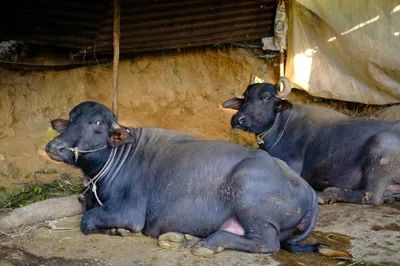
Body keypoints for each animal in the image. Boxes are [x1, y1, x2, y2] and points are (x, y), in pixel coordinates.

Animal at [45, 101, 348, 256]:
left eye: (96, 124)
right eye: (69, 120)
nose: (54, 147)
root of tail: (308, 190)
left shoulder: (128, 212)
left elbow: (87, 220)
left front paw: (116, 231)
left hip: (250, 200)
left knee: (267, 243)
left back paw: (208, 244)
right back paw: (183, 237)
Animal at [222, 78, 400, 205]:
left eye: (266, 97)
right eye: (245, 97)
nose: (238, 119)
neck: (281, 125)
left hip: (381, 145)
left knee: (371, 196)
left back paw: (327, 194)